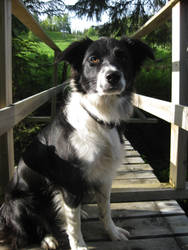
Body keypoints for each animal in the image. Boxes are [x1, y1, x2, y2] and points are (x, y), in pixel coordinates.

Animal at [0, 36, 153, 249]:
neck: (99, 116)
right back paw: (47, 238)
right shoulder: (70, 183)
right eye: (93, 59)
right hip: (21, 203)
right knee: (32, 226)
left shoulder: (105, 177)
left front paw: (112, 233)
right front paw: (79, 245)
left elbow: (105, 210)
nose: (113, 76)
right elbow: (74, 225)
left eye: (122, 56)